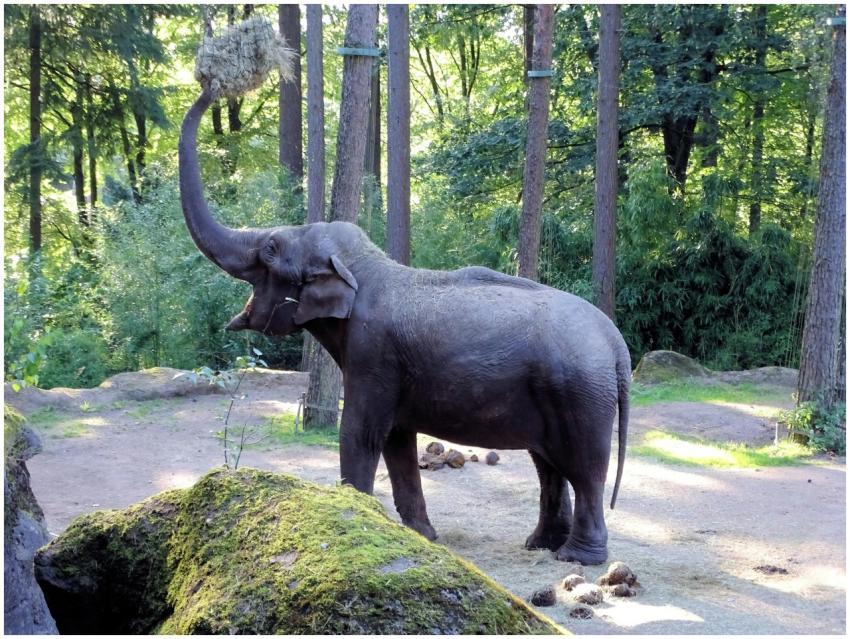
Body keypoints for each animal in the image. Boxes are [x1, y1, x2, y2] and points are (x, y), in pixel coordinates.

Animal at [179, 89, 630, 566]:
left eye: (269, 248)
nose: (212, 86)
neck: (365, 266)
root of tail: (616, 343)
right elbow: (397, 438)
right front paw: (422, 536)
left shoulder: (373, 353)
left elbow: (361, 432)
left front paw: (359, 519)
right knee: (548, 463)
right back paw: (542, 545)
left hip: (580, 394)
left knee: (584, 469)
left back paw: (577, 558)